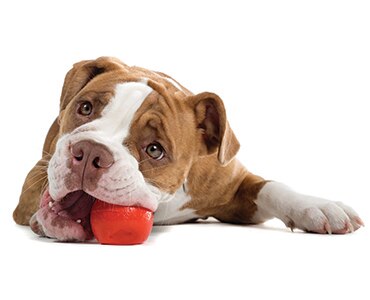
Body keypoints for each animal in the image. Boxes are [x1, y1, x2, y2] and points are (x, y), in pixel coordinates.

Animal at [12, 56, 364, 241]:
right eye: (84, 108)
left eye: (154, 150)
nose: (89, 152)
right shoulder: (38, 172)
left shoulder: (235, 188)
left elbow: (272, 187)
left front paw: (319, 207)